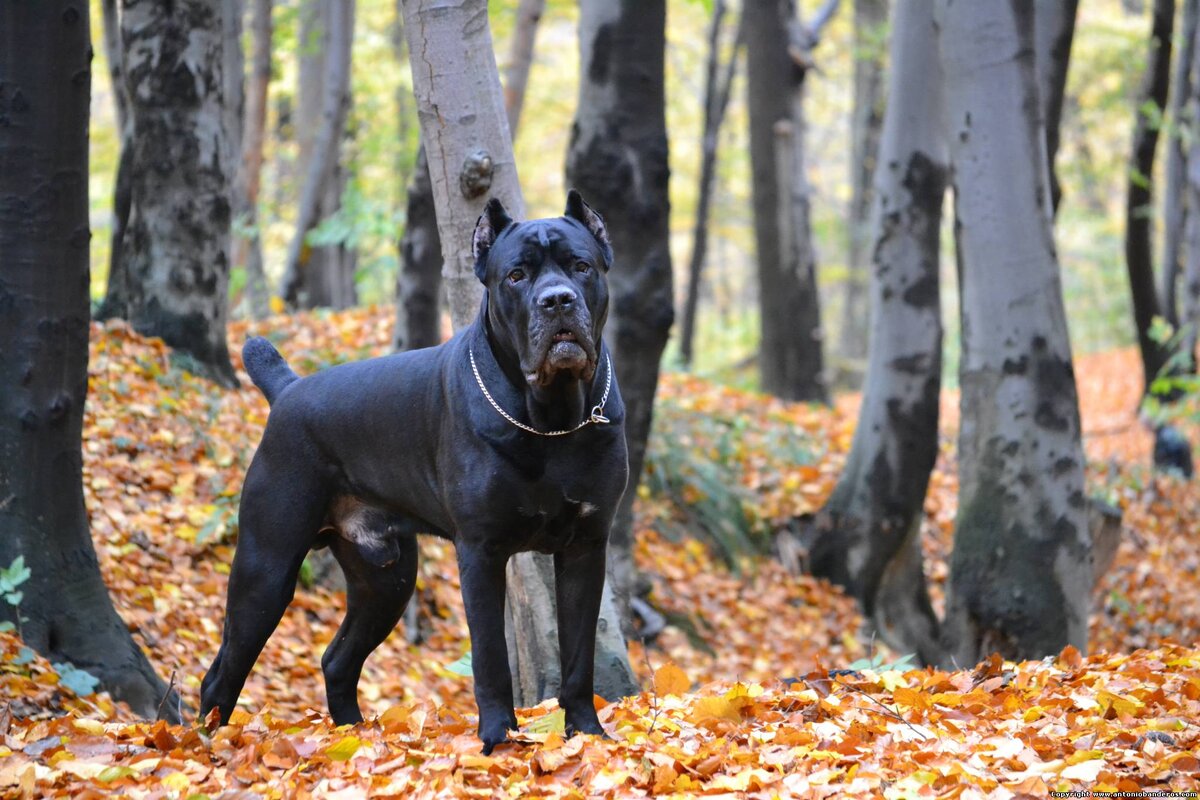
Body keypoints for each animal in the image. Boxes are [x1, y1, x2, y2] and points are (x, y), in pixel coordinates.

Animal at [199, 190, 628, 753]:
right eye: (516, 275)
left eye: (580, 266)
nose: (556, 300)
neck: (554, 418)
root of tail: (289, 389)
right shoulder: (481, 551)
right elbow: (490, 657)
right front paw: (497, 739)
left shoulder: (585, 546)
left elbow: (579, 654)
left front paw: (587, 734)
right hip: (266, 567)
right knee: (222, 671)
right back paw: (203, 746)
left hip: (387, 579)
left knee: (337, 660)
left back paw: (354, 739)